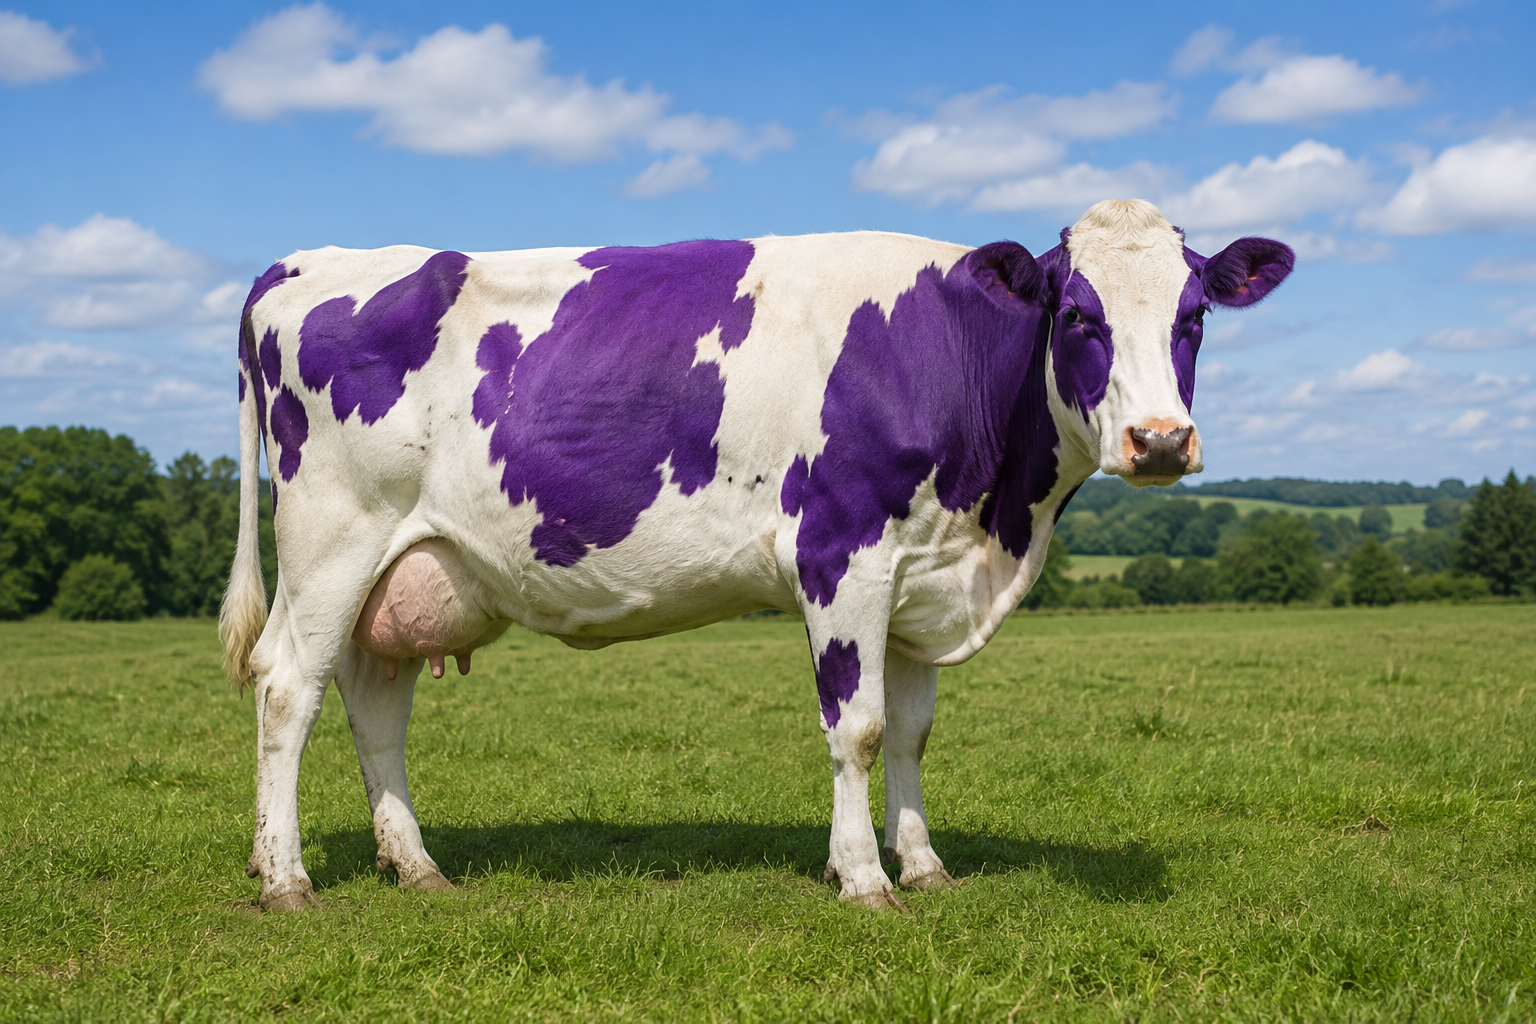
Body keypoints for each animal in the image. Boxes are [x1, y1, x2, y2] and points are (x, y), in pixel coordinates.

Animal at [221, 199, 1292, 912]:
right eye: (1077, 316)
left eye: (1194, 316)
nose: (1161, 441)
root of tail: (302, 263)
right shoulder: (843, 553)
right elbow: (858, 729)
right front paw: (862, 880)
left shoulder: (919, 574)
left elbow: (911, 735)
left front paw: (924, 865)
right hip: (333, 538)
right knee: (287, 687)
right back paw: (287, 879)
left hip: (406, 568)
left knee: (374, 701)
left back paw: (415, 866)